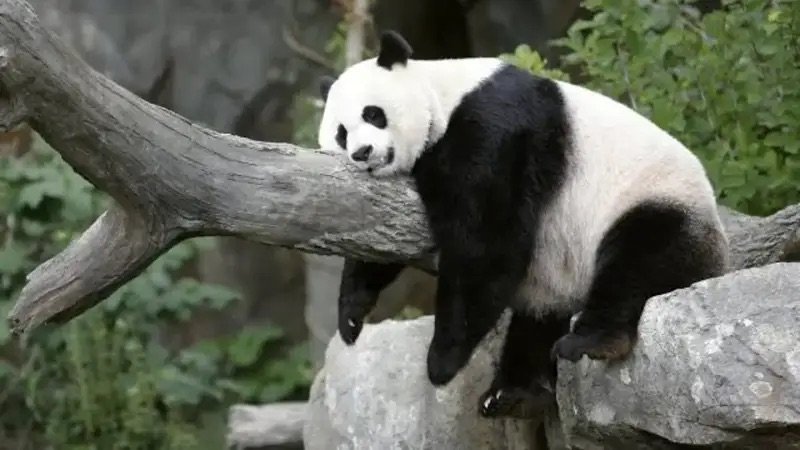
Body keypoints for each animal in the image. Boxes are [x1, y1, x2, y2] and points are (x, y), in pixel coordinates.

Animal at [317, 30, 729, 418]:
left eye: (373, 114)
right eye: (341, 132)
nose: (362, 153)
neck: (442, 94)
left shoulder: (494, 127)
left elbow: (485, 241)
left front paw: (441, 361)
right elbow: (381, 236)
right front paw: (351, 315)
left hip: (654, 202)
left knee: (638, 261)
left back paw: (592, 341)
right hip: (557, 277)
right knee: (538, 319)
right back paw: (513, 392)